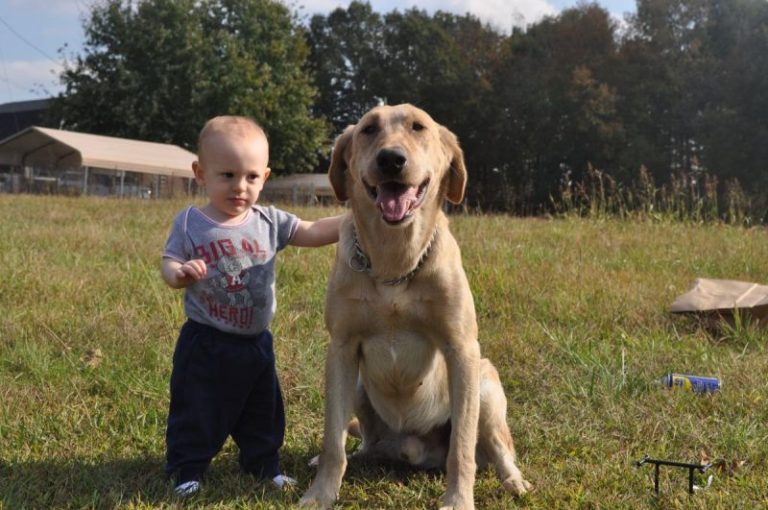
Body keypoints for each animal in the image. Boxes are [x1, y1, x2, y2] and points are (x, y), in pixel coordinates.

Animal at [300, 104, 528, 510]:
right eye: (368, 129)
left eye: (418, 126)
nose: (391, 159)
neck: (395, 262)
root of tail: (414, 450)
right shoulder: (341, 349)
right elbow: (332, 441)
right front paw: (320, 493)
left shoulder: (462, 350)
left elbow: (462, 447)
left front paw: (458, 500)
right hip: (359, 385)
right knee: (363, 440)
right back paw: (360, 455)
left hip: (486, 384)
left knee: (497, 448)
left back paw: (513, 480)